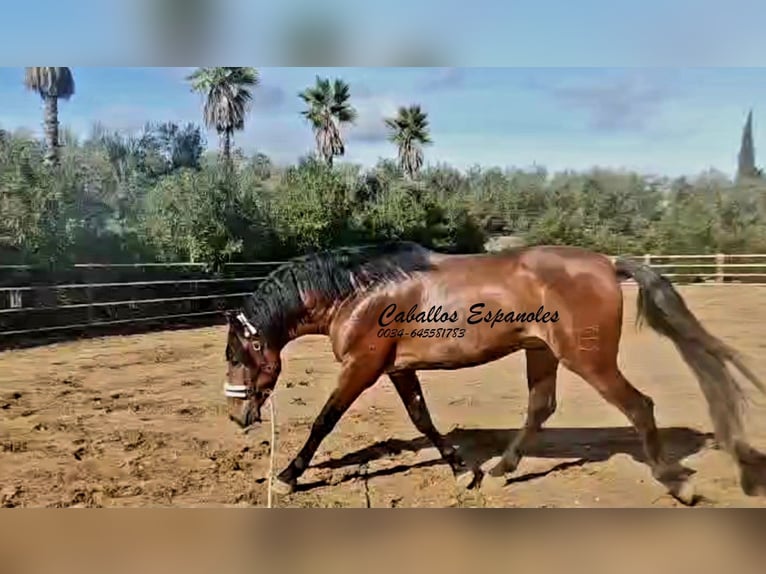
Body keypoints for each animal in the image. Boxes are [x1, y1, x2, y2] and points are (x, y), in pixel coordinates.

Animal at [222, 240, 766, 504]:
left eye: (235, 355)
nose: (236, 417)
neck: (358, 291)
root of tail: (607, 264)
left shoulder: (363, 366)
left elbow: (324, 420)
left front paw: (287, 478)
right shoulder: (396, 369)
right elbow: (422, 419)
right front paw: (465, 471)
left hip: (587, 360)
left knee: (638, 406)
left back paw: (678, 484)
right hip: (541, 353)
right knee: (541, 407)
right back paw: (503, 471)